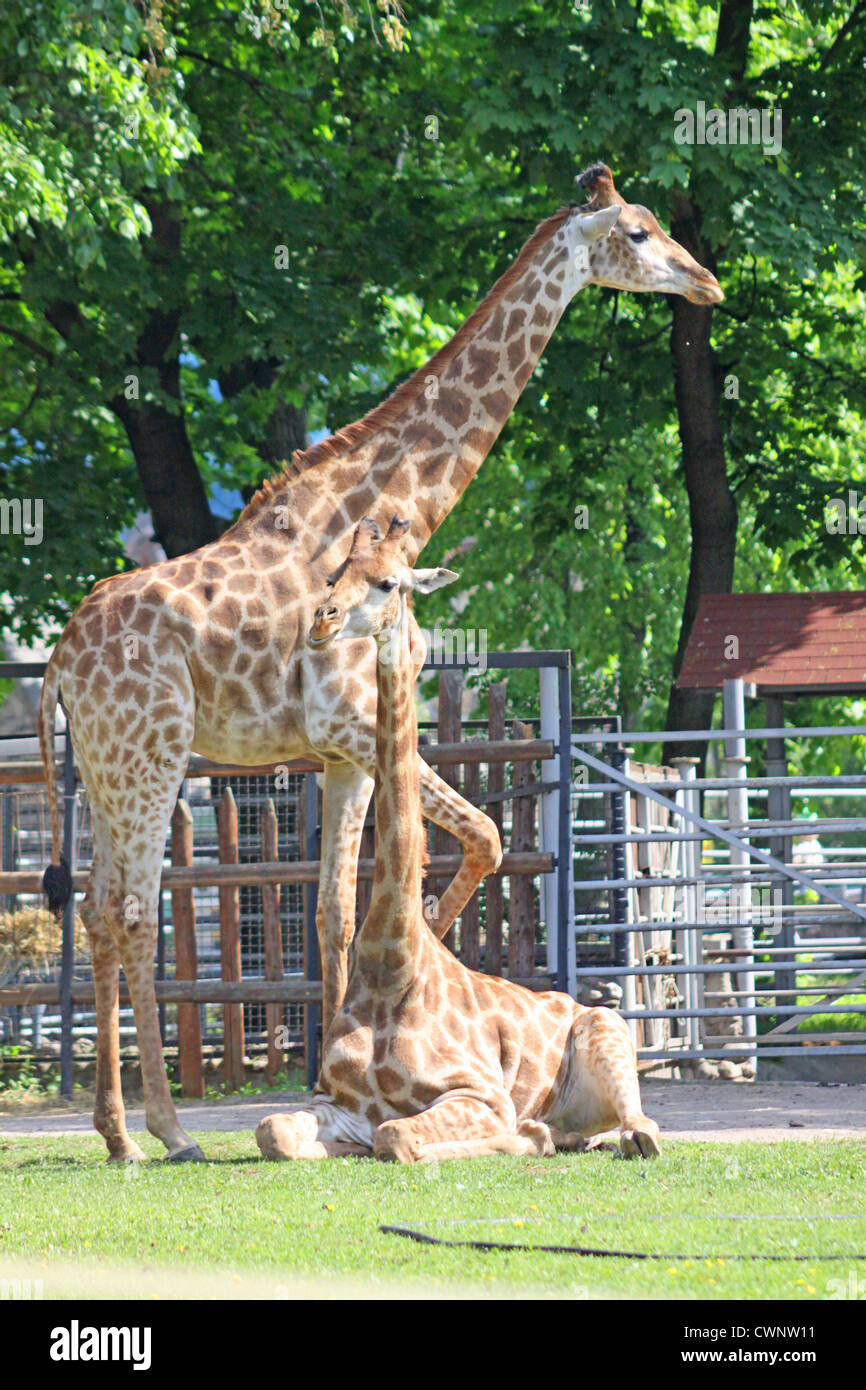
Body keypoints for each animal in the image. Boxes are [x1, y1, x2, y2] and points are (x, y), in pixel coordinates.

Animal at [254, 522, 661, 1162]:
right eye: (333, 574)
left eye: (388, 582)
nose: (322, 620)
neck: (390, 963)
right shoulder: (336, 1104)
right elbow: (273, 1130)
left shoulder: (479, 1093)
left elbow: (398, 1135)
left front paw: (523, 1136)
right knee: (588, 1133)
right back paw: (560, 1133)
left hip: (609, 1029)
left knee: (641, 1127)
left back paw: (568, 1132)